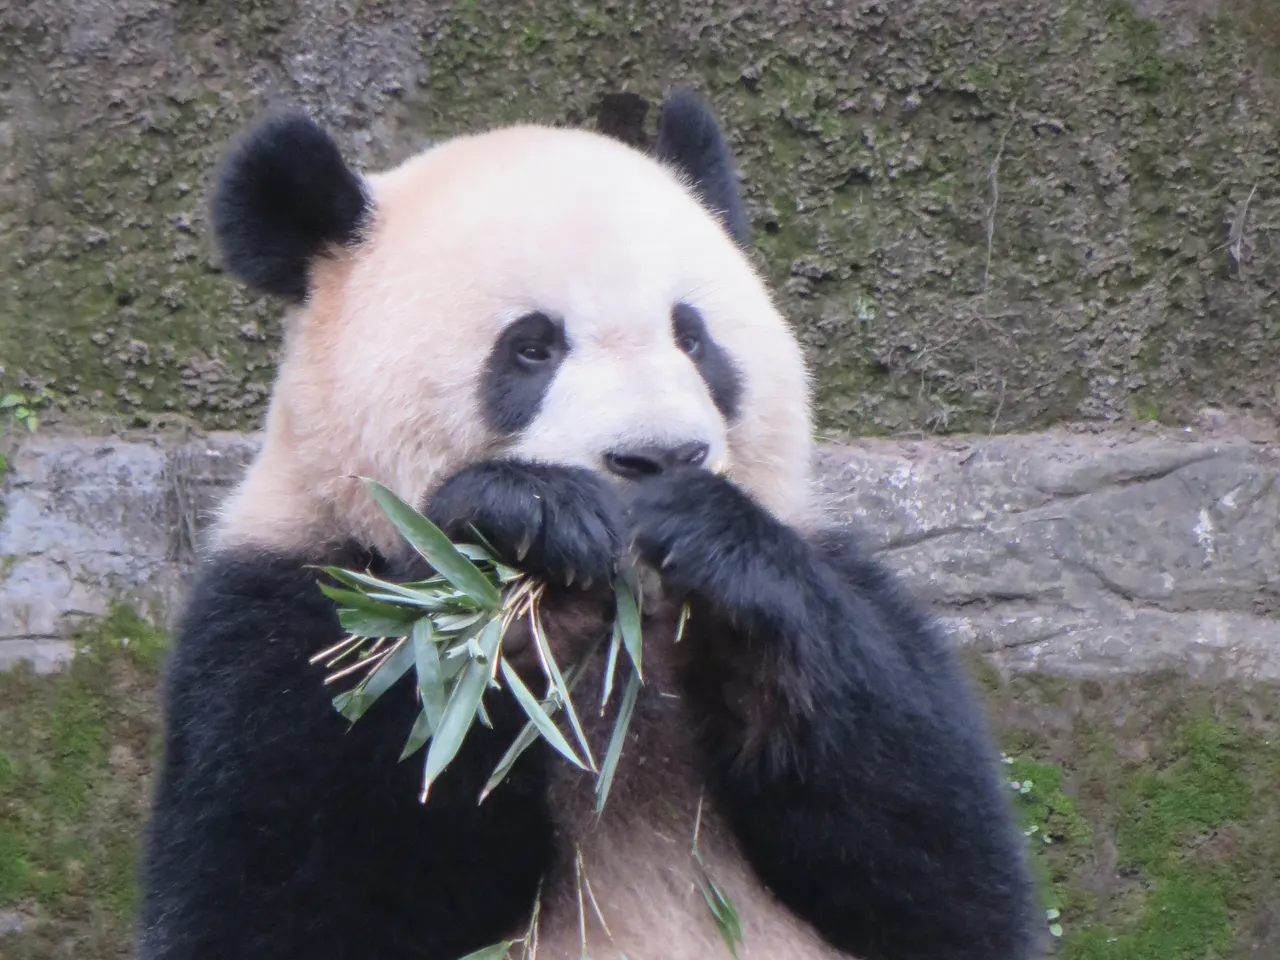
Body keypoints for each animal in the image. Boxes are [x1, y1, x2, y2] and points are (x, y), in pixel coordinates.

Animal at [135, 89, 1040, 960]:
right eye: (532, 348)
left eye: (693, 337)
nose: (661, 455)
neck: (620, 647)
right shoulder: (293, 608)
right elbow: (292, 884)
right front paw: (527, 529)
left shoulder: (846, 579)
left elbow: (947, 874)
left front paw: (717, 545)